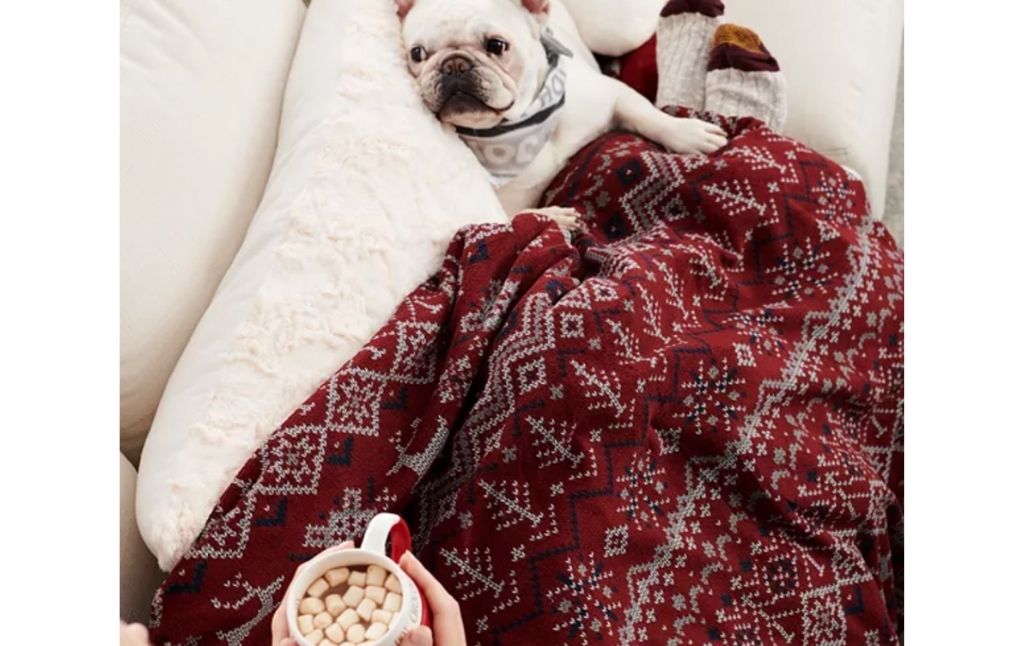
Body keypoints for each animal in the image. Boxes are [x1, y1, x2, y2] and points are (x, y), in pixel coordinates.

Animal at [397, 0, 729, 225]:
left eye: (497, 45)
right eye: (416, 53)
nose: (454, 65)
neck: (521, 126)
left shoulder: (610, 95)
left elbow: (649, 116)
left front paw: (688, 133)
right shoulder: (504, 207)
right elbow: (518, 219)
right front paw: (554, 217)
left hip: (616, 32)